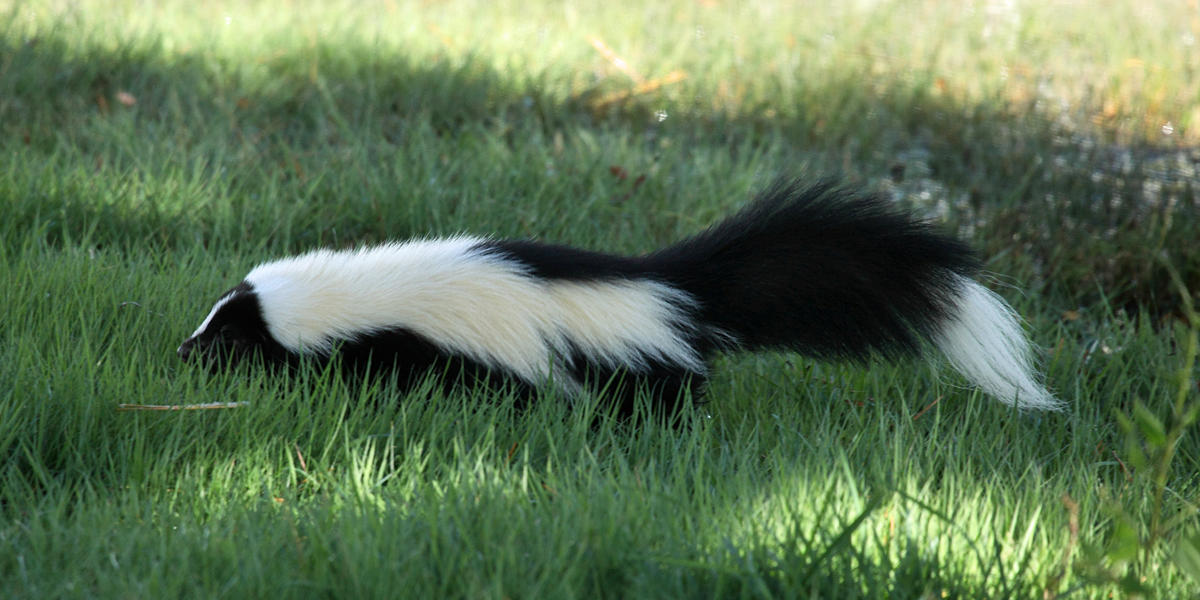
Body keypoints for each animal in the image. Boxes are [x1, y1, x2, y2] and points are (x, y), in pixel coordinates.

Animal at [177, 178, 1060, 412]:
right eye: (214, 319)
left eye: (230, 335)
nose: (185, 350)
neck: (362, 293)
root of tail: (674, 289)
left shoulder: (408, 347)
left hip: (635, 368)